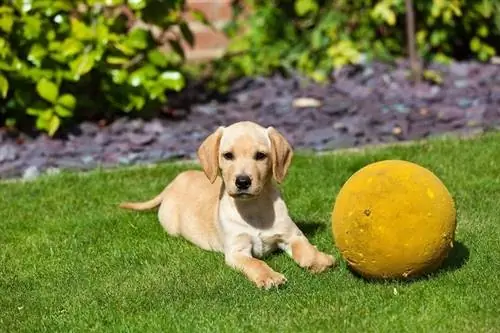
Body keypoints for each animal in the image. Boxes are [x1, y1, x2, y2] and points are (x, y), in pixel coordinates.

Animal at [118, 120, 334, 288]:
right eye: (228, 155)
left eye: (261, 155)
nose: (243, 181)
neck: (253, 208)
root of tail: (172, 184)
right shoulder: (237, 252)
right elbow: (256, 264)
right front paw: (269, 276)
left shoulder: (292, 235)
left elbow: (305, 249)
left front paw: (320, 260)